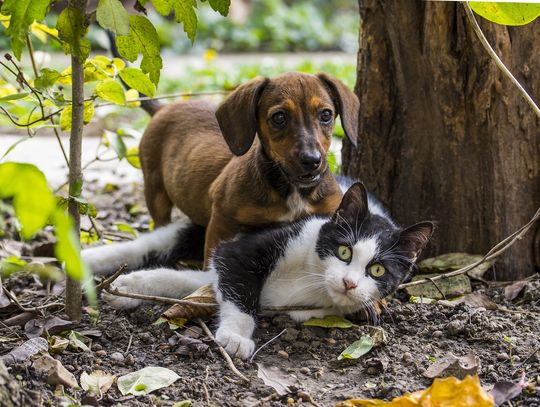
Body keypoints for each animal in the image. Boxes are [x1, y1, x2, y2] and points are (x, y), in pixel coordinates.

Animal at [81, 182, 434, 360]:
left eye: (377, 270)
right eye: (344, 251)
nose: (349, 283)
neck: (312, 279)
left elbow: (189, 281)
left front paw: (131, 288)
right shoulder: (246, 248)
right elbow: (239, 287)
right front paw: (236, 337)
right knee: (148, 244)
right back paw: (84, 260)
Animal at [139, 72, 358, 264]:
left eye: (326, 114)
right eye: (279, 117)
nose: (312, 160)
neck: (292, 191)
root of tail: (162, 108)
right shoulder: (221, 221)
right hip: (155, 192)